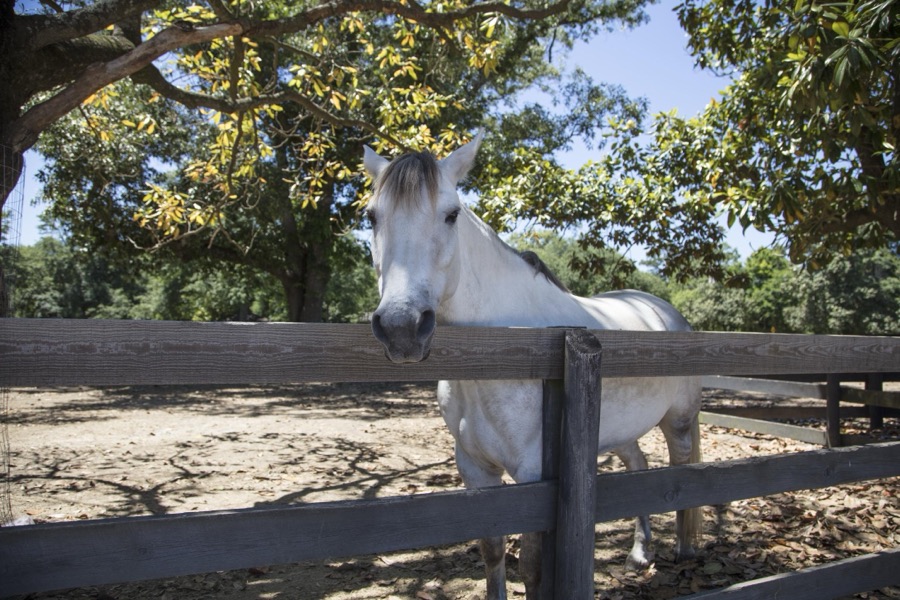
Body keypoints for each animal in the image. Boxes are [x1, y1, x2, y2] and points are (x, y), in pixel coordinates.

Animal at [362, 133, 702, 600]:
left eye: (450, 215)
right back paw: (638, 555)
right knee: (640, 468)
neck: (505, 349)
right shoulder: (474, 467)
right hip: (620, 431)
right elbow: (491, 549)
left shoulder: (535, 474)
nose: (401, 327)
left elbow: (533, 567)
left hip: (679, 423)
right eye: (371, 217)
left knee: (681, 475)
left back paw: (684, 553)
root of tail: (664, 311)